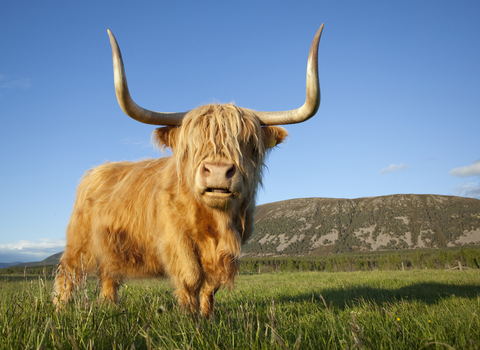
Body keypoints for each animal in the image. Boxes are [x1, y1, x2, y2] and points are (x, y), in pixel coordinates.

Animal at [52, 23, 324, 316]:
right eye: (192, 144)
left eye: (249, 143)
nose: (218, 171)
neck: (215, 225)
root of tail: (96, 170)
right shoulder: (176, 242)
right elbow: (191, 278)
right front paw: (190, 318)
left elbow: (211, 286)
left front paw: (207, 317)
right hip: (79, 243)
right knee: (67, 273)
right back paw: (59, 312)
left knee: (109, 276)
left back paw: (110, 308)